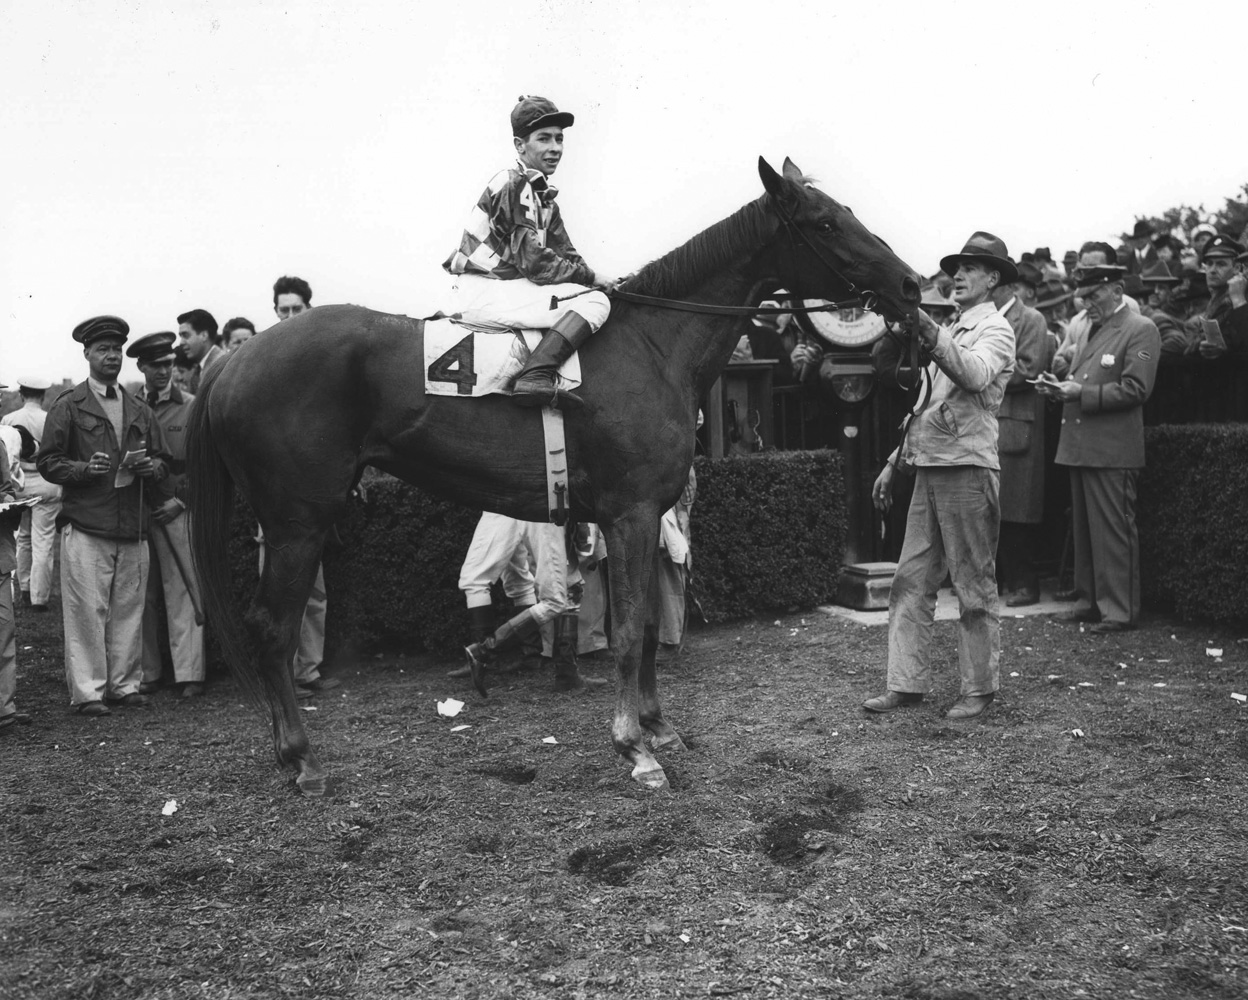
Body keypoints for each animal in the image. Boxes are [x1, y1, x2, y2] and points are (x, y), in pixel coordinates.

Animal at [189, 156, 923, 794]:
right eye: (824, 222)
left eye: (845, 211)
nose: (911, 285)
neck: (653, 346)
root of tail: (232, 361)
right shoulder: (630, 514)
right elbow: (627, 632)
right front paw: (635, 747)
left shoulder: (639, 517)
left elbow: (647, 627)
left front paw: (658, 727)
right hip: (297, 521)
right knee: (271, 628)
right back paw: (302, 759)